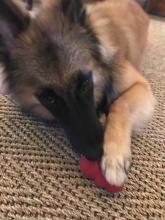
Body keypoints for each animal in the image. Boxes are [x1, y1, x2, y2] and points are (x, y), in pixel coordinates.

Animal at [0, 0, 155, 186]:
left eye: (85, 84)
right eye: (50, 99)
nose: (95, 152)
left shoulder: (140, 86)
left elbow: (120, 104)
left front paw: (115, 157)